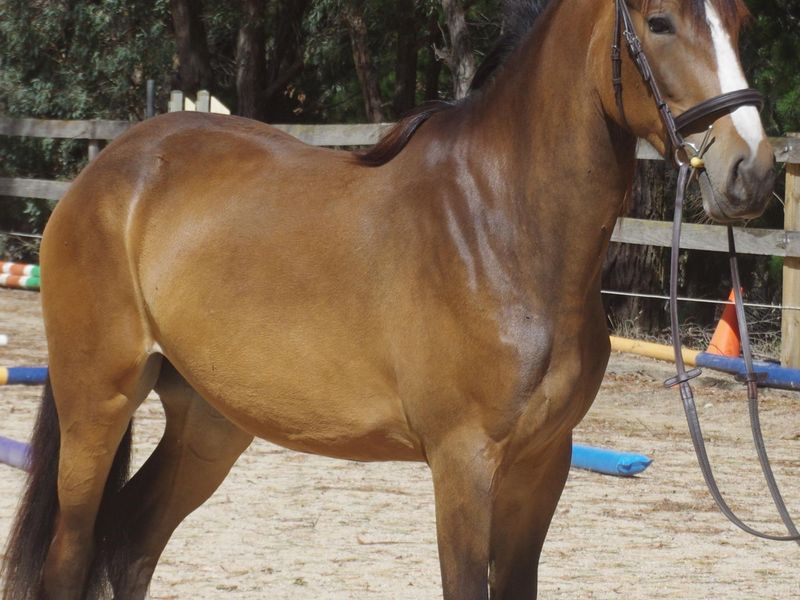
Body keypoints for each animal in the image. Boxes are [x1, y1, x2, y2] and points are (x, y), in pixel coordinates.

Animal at [2, 1, 773, 598]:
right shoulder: (464, 464)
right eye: (659, 21)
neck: (501, 227)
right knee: (71, 555)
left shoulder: (543, 465)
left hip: (210, 420)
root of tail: (109, 169)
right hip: (97, 402)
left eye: (742, 20)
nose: (752, 172)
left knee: (132, 541)